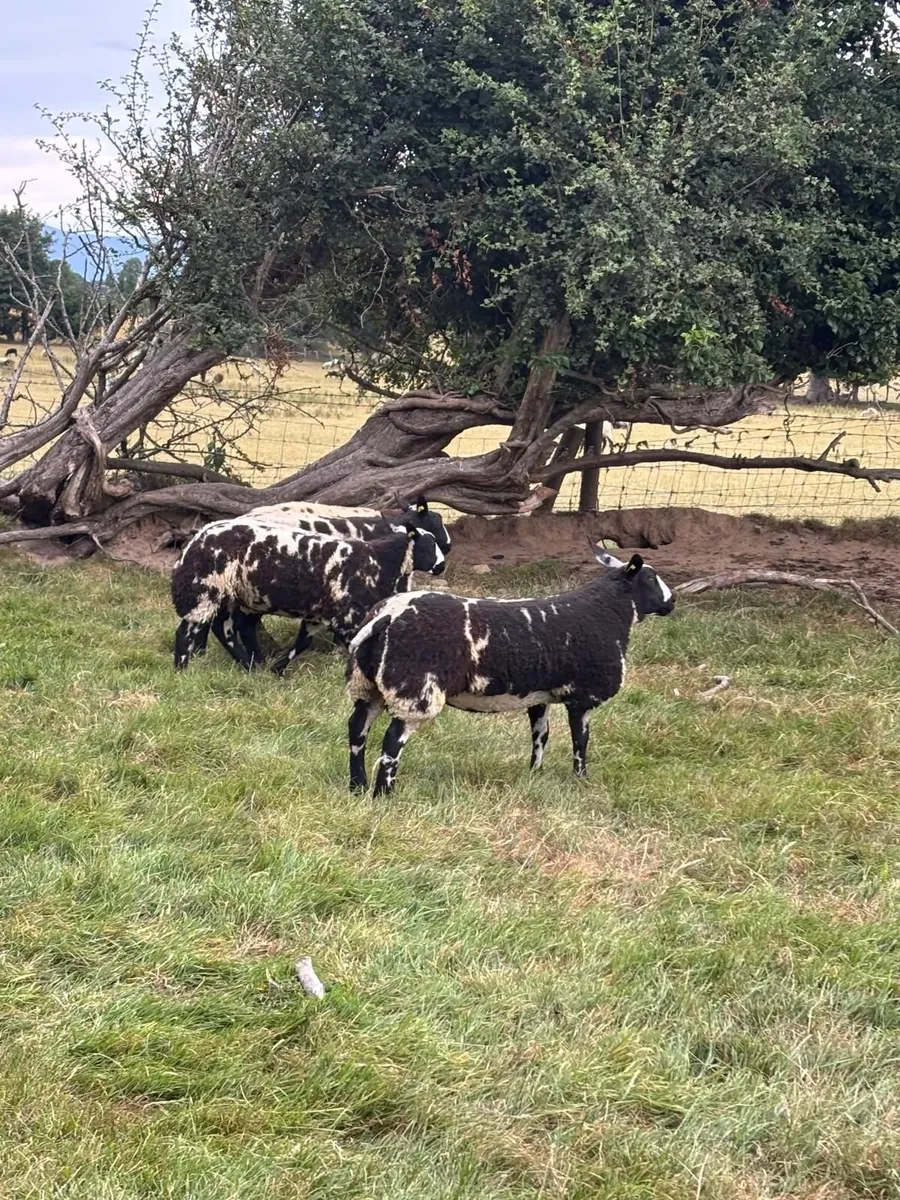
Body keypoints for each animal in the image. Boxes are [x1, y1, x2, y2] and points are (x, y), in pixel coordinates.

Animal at [171, 518, 446, 672]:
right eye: (430, 544)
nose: (441, 566)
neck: (379, 561)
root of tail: (195, 540)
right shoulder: (347, 616)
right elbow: (355, 647)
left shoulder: (319, 615)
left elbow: (301, 644)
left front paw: (277, 670)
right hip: (204, 589)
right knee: (188, 630)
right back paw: (182, 669)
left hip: (231, 594)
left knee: (224, 628)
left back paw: (250, 665)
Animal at [345, 546, 674, 794]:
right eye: (650, 578)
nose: (672, 603)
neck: (608, 610)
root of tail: (387, 615)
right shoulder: (581, 697)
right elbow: (580, 741)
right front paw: (581, 779)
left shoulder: (539, 696)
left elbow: (541, 735)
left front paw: (535, 773)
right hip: (414, 688)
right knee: (392, 742)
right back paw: (384, 793)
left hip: (369, 684)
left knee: (357, 729)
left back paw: (358, 786)